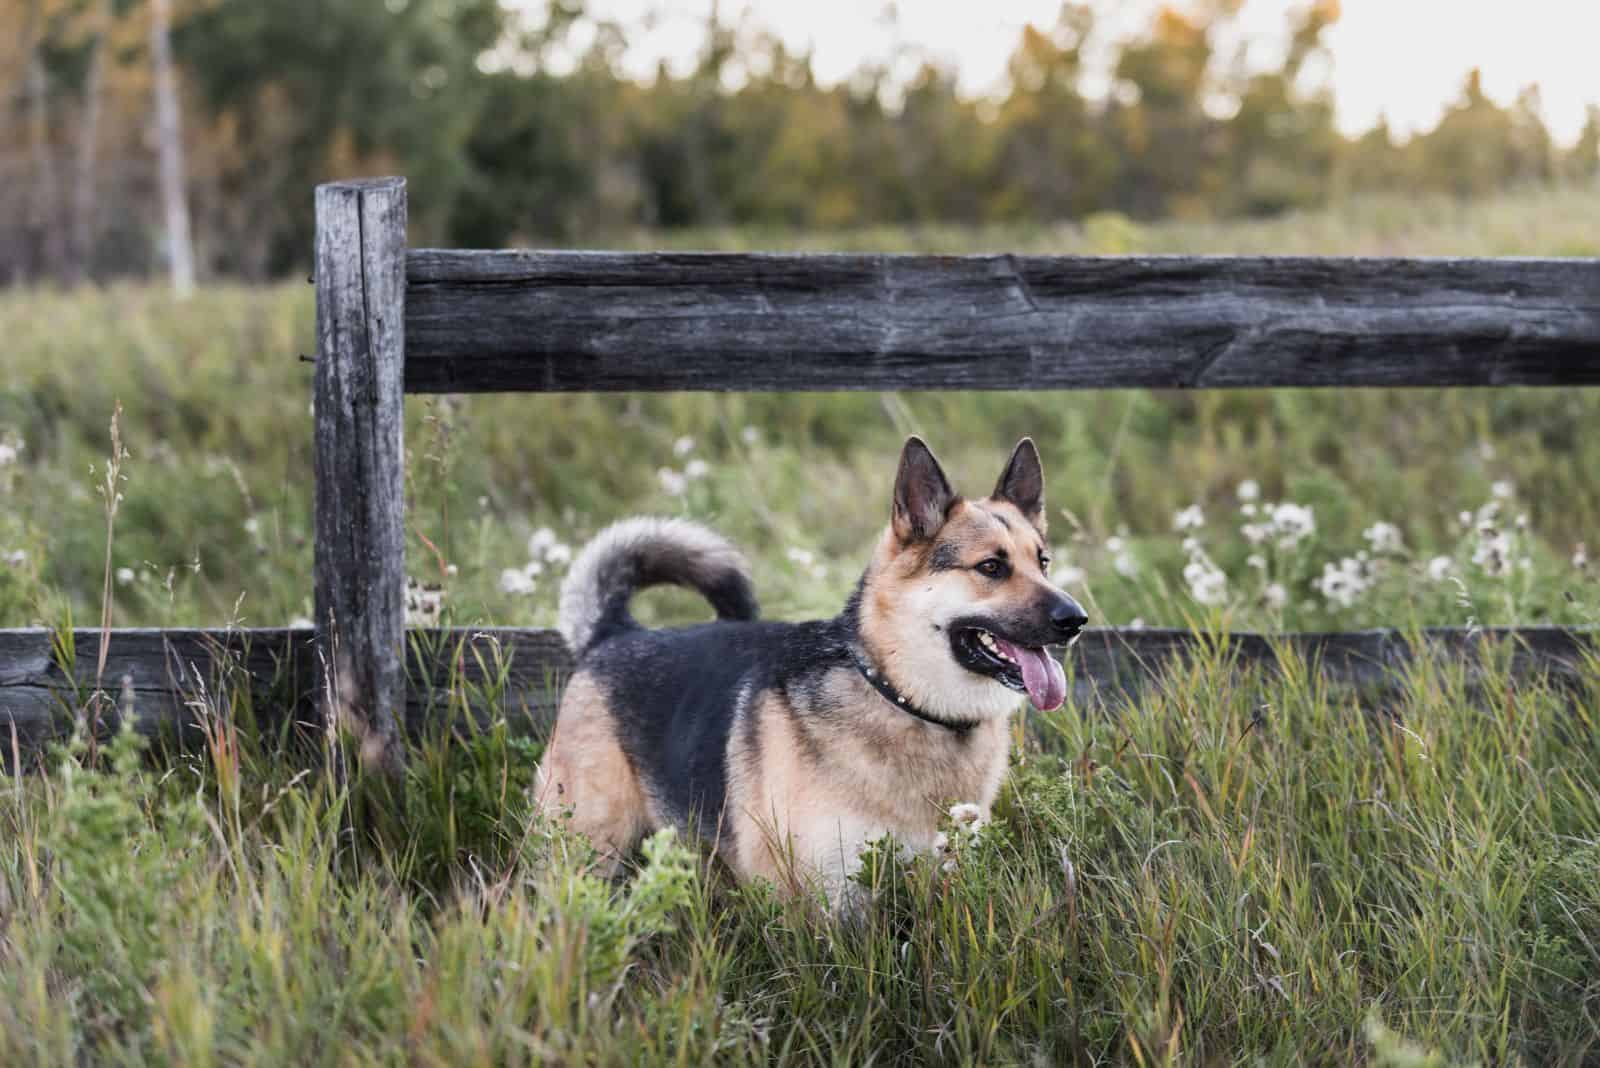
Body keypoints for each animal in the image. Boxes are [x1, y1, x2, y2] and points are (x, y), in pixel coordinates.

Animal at [537, 438, 1088, 908]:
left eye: (1043, 562)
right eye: (991, 567)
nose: (1076, 620)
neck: (897, 696)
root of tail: (613, 633)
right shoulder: (825, 898)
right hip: (589, 852)